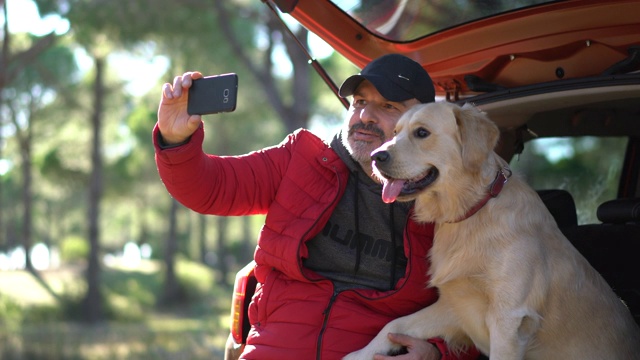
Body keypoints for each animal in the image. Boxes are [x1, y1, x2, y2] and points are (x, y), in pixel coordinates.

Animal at [344, 102, 640, 360]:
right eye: (395, 132)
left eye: (422, 133)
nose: (376, 157)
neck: (471, 211)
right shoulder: (454, 305)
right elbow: (392, 325)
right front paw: (358, 355)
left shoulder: (509, 319)